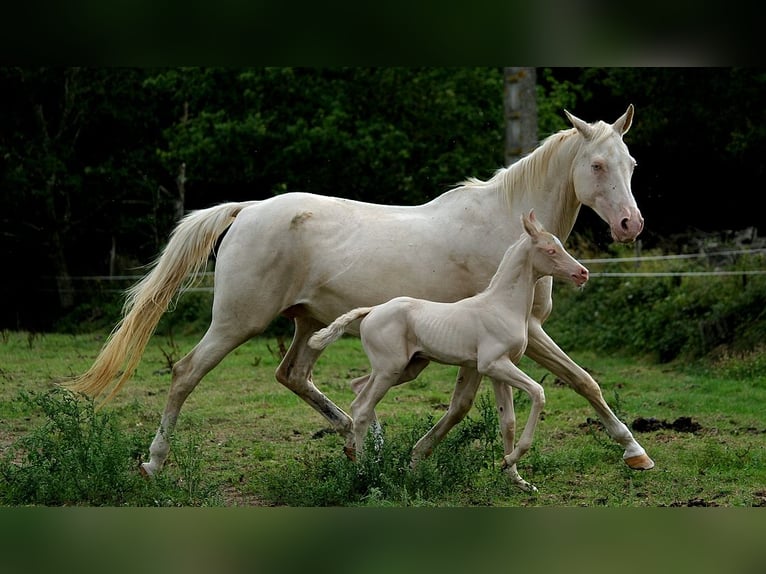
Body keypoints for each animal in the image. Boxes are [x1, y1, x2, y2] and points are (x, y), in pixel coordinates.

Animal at [308, 210, 592, 490]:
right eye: (551, 250)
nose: (583, 273)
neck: (503, 305)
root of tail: (372, 310)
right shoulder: (493, 364)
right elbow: (538, 393)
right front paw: (512, 460)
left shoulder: (500, 370)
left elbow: (508, 422)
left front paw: (514, 475)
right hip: (390, 369)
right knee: (362, 407)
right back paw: (365, 472)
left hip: (408, 367)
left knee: (358, 388)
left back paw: (374, 456)